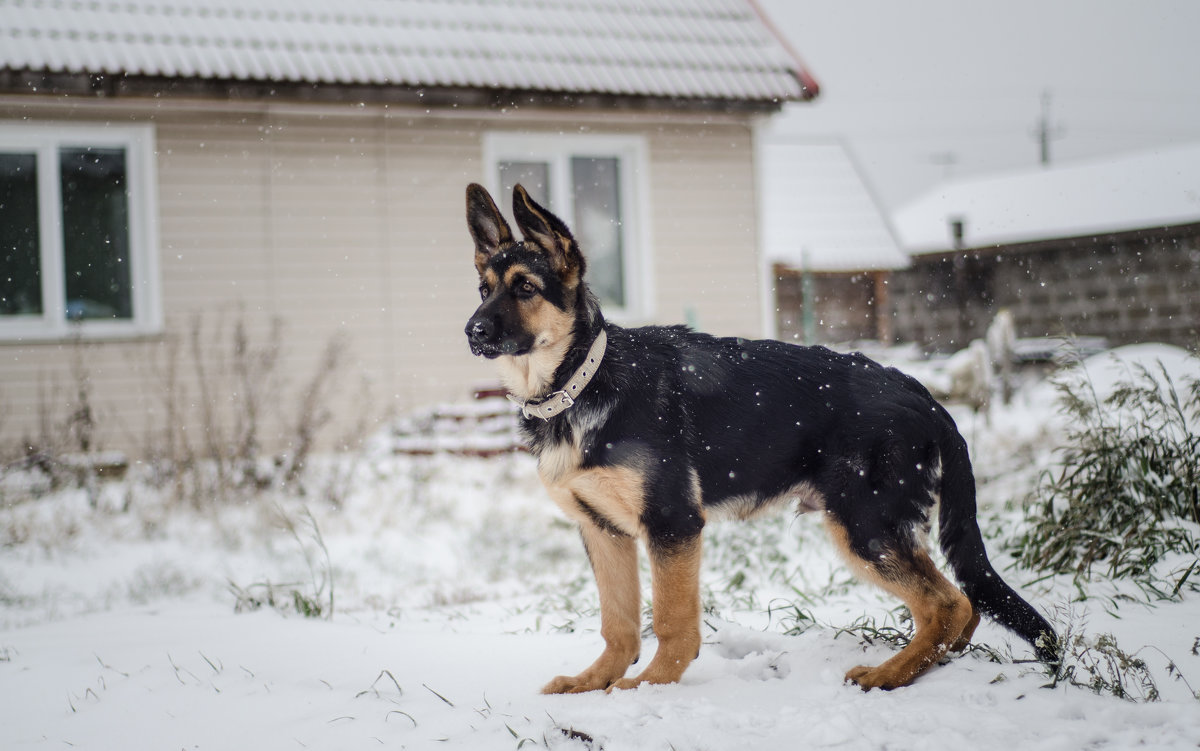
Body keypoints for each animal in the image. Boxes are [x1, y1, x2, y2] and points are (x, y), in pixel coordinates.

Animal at [463, 181, 1056, 691]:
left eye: (525, 288)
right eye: (484, 289)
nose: (473, 331)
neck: (580, 380)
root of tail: (924, 397)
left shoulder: (673, 523)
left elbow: (672, 621)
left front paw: (648, 688)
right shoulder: (603, 531)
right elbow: (619, 622)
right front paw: (596, 683)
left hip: (865, 522)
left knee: (947, 604)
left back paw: (887, 676)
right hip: (878, 523)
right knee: (963, 603)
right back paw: (927, 666)